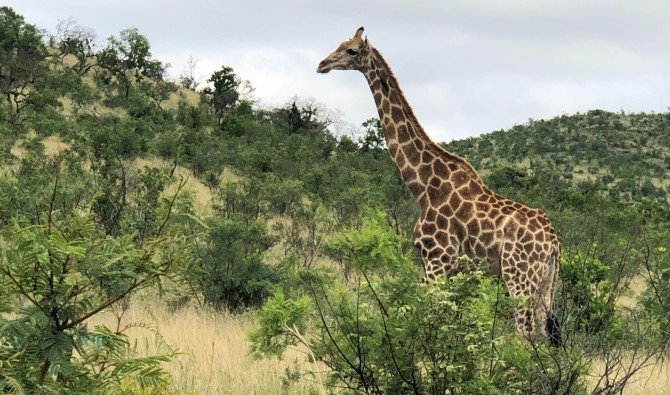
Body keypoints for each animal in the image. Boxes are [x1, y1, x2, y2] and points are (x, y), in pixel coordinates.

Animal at [318, 27, 564, 346]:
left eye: (351, 51)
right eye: (340, 43)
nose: (322, 64)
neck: (423, 186)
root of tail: (554, 242)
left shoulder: (438, 260)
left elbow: (431, 323)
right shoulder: (449, 268)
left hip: (518, 275)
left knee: (525, 335)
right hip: (546, 283)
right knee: (546, 335)